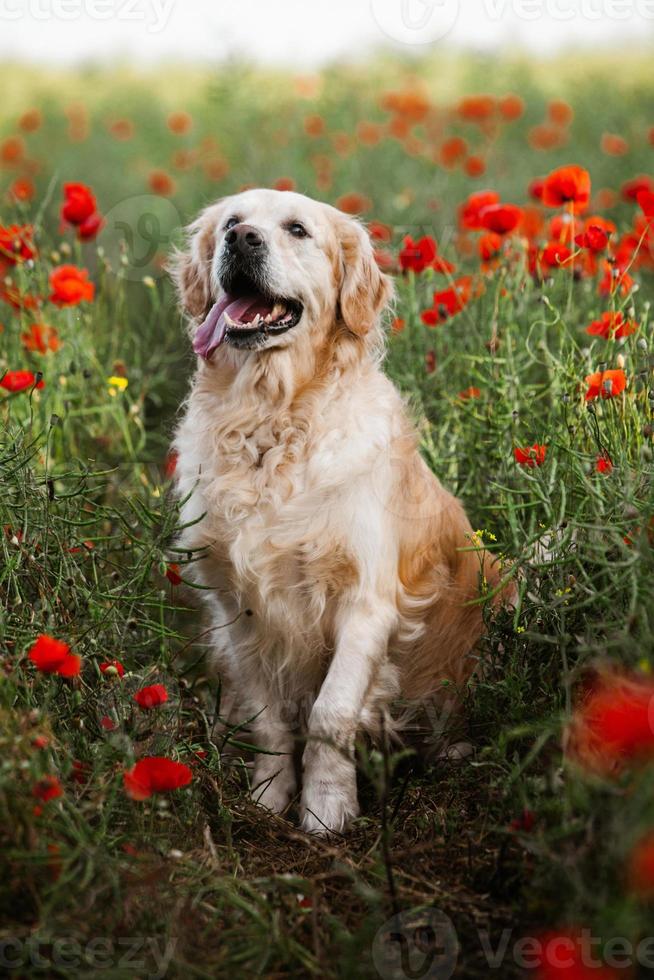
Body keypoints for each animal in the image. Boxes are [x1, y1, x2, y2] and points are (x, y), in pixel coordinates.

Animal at [172, 189, 510, 836]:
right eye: (231, 222)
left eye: (298, 230)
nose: (241, 240)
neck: (271, 422)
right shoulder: (237, 609)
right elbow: (269, 717)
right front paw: (269, 797)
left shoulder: (367, 601)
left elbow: (330, 715)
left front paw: (328, 810)